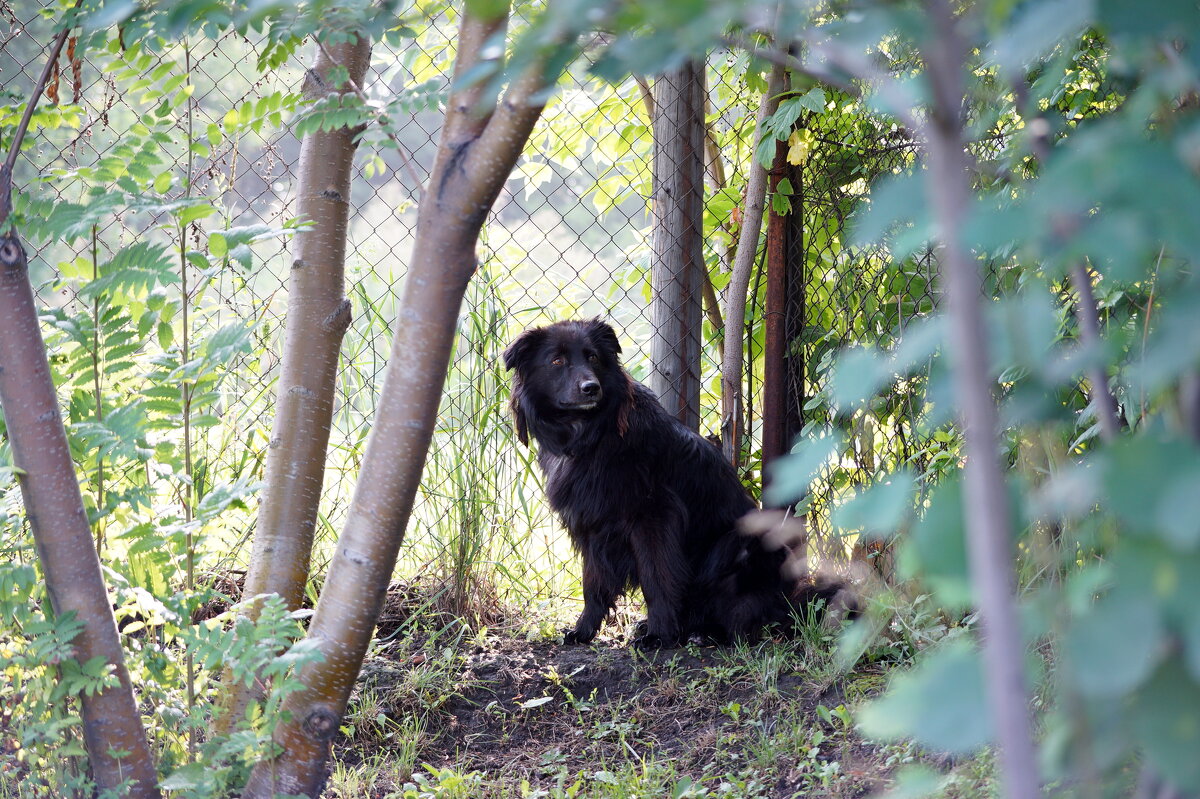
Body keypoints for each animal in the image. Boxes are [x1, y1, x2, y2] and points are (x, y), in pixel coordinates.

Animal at [504, 314, 844, 643]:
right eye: (557, 361)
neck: (590, 431)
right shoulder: (592, 524)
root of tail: (789, 605)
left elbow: (657, 577)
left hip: (744, 542)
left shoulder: (654, 516)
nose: (591, 388)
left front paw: (660, 635)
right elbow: (593, 584)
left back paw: (705, 633)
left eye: (593, 357)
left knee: (744, 620)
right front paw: (584, 631)